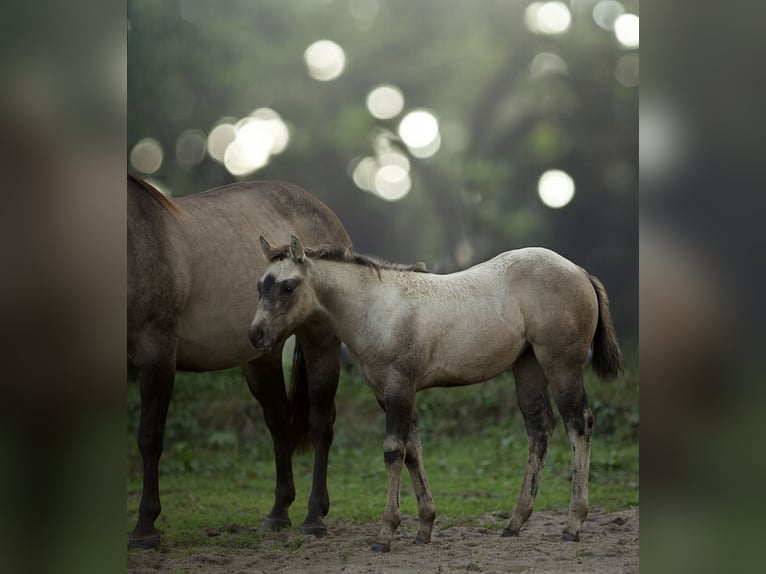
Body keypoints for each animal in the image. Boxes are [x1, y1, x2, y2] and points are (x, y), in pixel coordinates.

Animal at [128, 176, 352, 548]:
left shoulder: (156, 352)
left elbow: (149, 436)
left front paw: (145, 527)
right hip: (263, 356)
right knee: (278, 420)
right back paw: (278, 512)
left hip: (320, 341)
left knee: (321, 421)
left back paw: (314, 516)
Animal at [252, 237, 624, 552]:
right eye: (259, 285)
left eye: (288, 286)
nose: (256, 335)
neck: (375, 308)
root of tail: (578, 271)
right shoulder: (390, 394)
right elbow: (413, 452)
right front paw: (424, 529)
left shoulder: (399, 386)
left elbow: (393, 452)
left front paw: (385, 535)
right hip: (528, 366)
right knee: (540, 429)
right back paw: (514, 523)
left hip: (561, 365)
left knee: (579, 424)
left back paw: (573, 524)